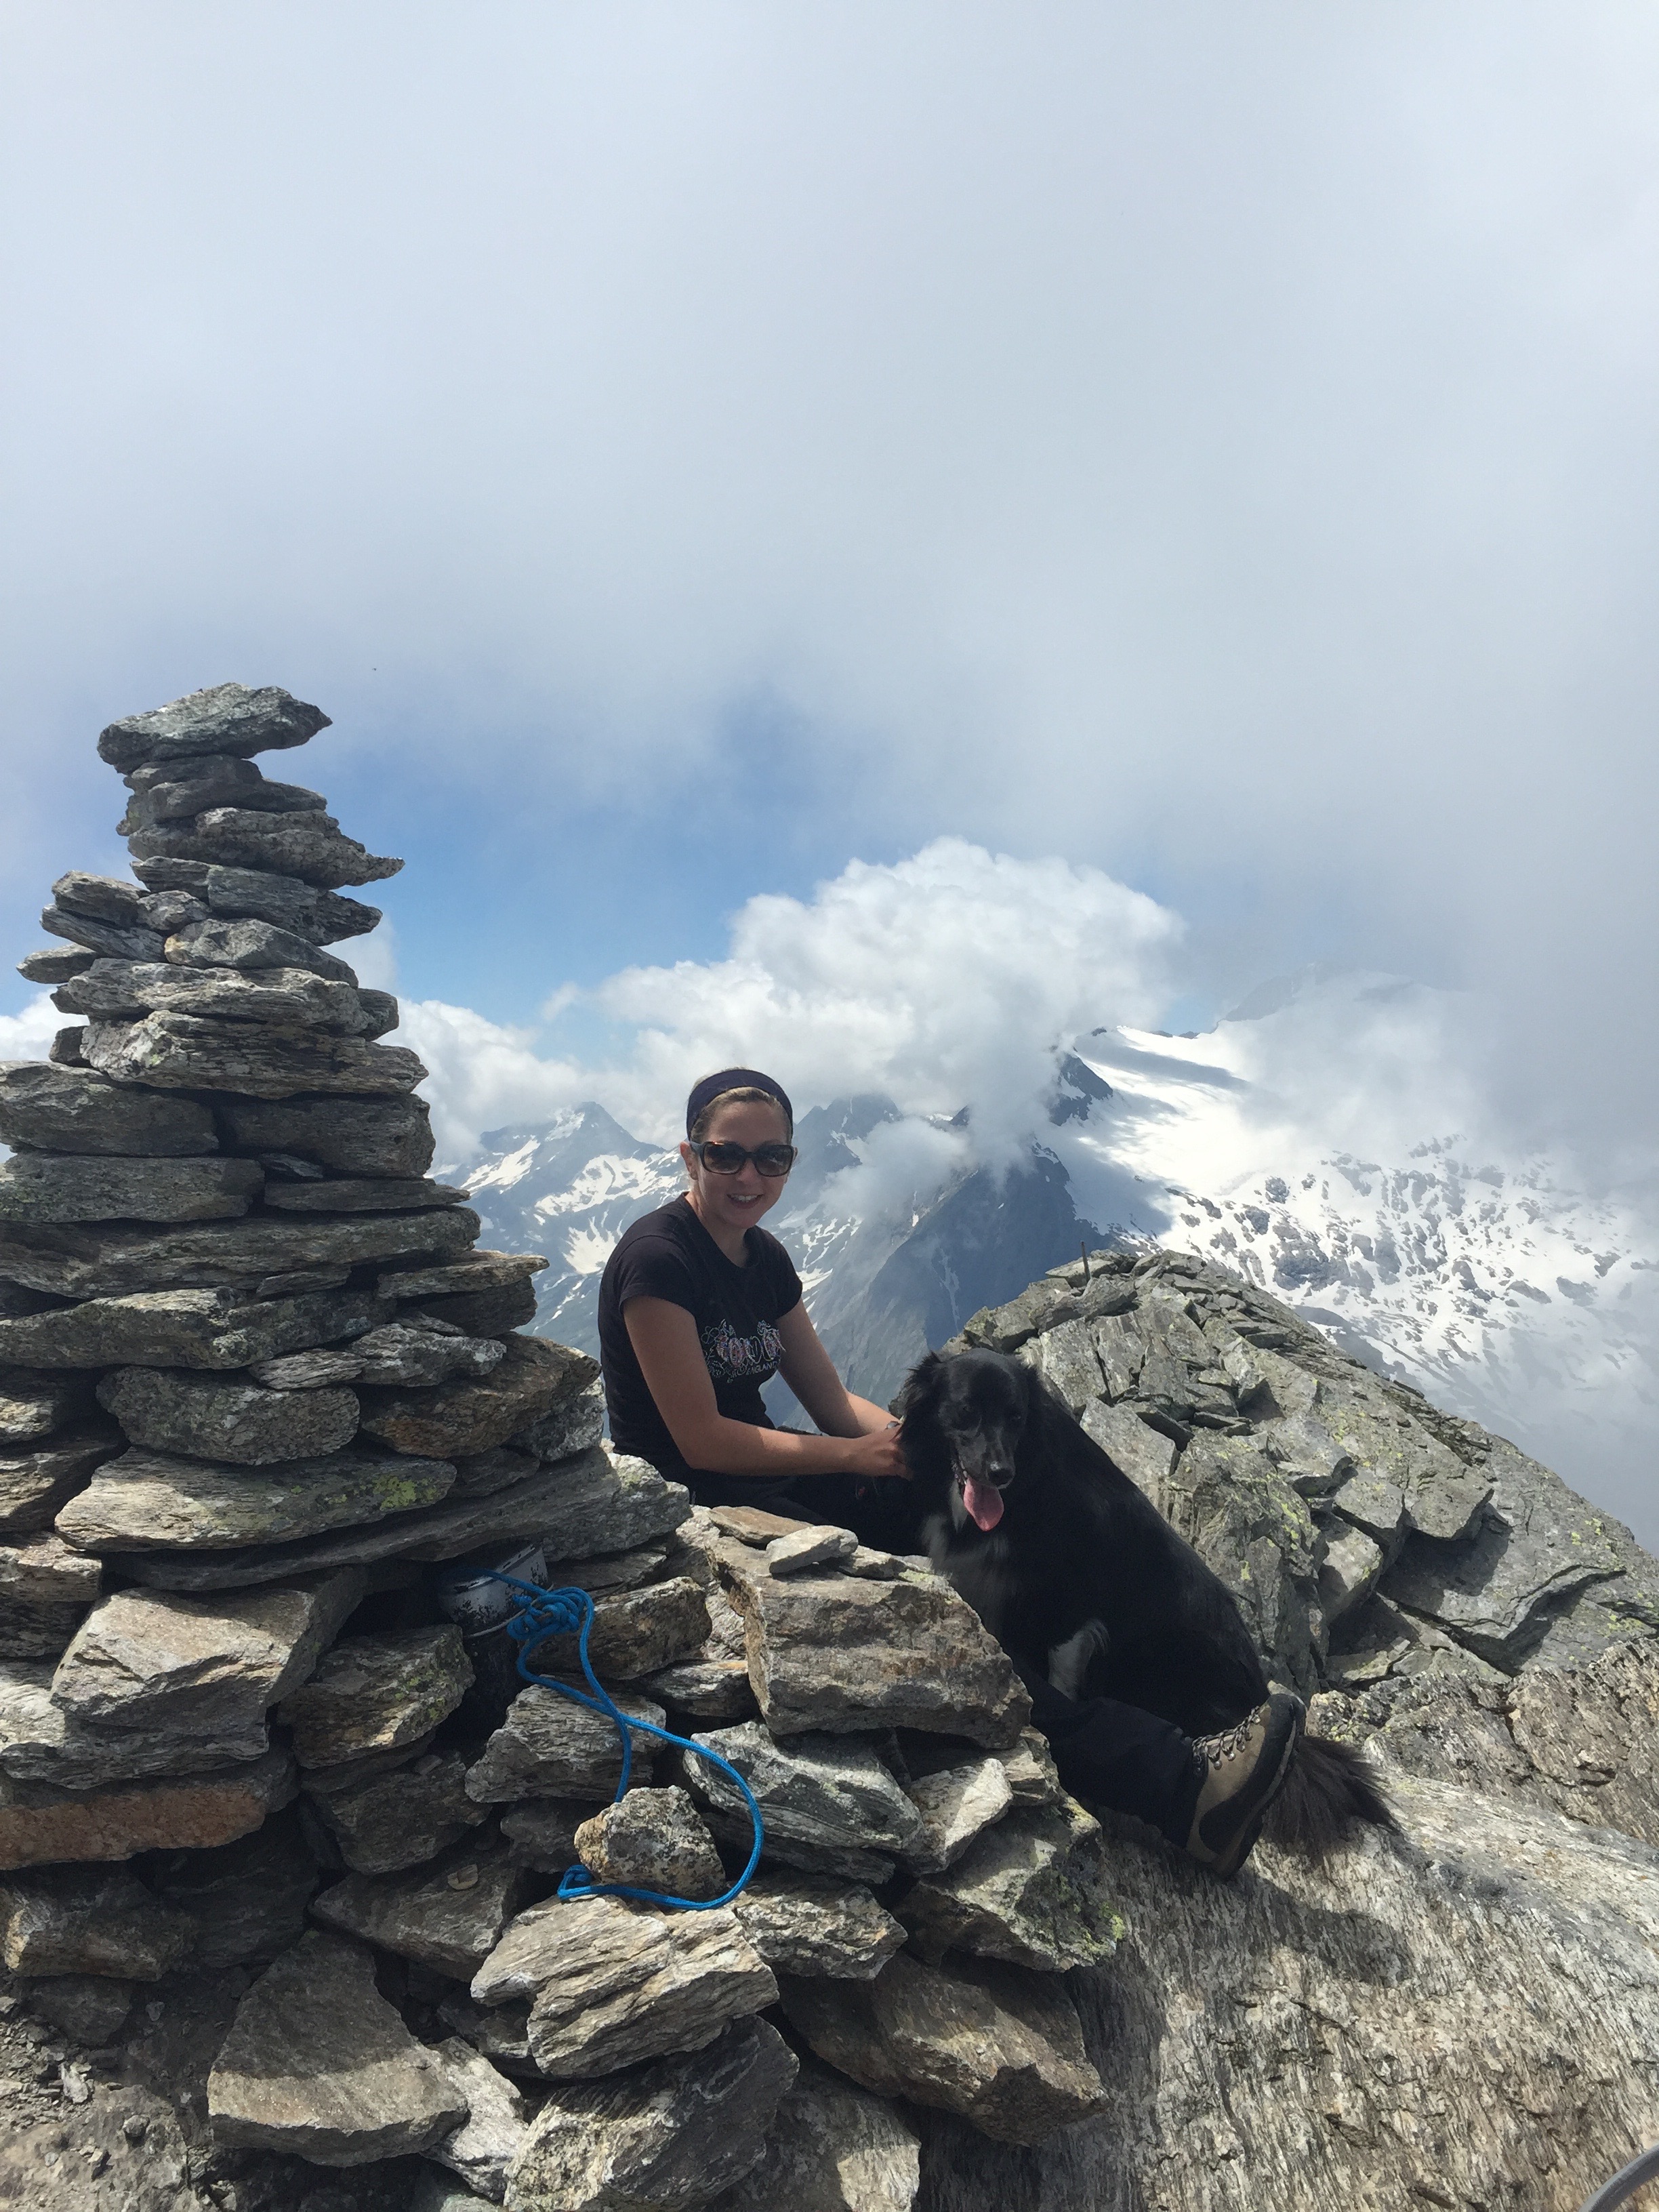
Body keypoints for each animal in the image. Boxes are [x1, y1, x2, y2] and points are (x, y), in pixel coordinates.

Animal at [895, 1345, 1394, 1856]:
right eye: (966, 1411)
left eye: (1016, 1416)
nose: (1000, 1473)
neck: (1026, 1490)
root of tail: (1257, 1696)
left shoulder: (1068, 1610)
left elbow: (1060, 1685)